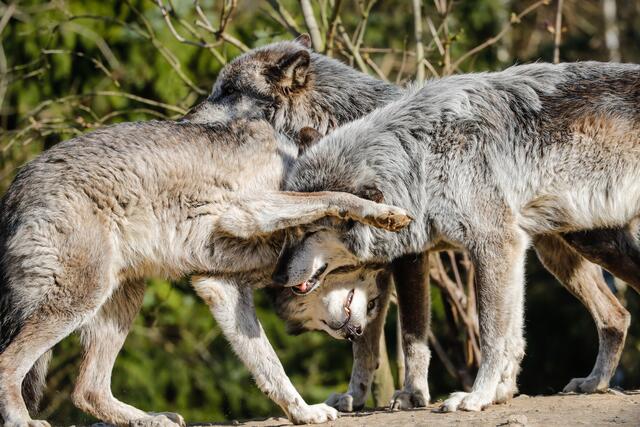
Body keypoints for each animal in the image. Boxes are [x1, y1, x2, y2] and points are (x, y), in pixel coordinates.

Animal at [0, 114, 412, 427]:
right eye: (370, 297)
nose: (357, 332)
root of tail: (13, 189)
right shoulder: (248, 208)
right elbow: (334, 197)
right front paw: (386, 214)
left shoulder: (219, 284)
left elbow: (269, 366)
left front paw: (303, 412)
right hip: (81, 299)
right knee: (10, 363)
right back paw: (23, 421)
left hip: (122, 299)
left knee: (88, 390)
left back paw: (150, 419)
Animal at [212, 36, 638, 410]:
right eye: (289, 230)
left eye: (228, 92)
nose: (279, 276)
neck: (422, 154)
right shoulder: (478, 254)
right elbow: (371, 343)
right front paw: (358, 396)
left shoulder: (480, 247)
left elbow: (463, 335)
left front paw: (468, 396)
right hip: (559, 258)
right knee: (617, 315)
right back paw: (595, 383)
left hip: (597, 246)